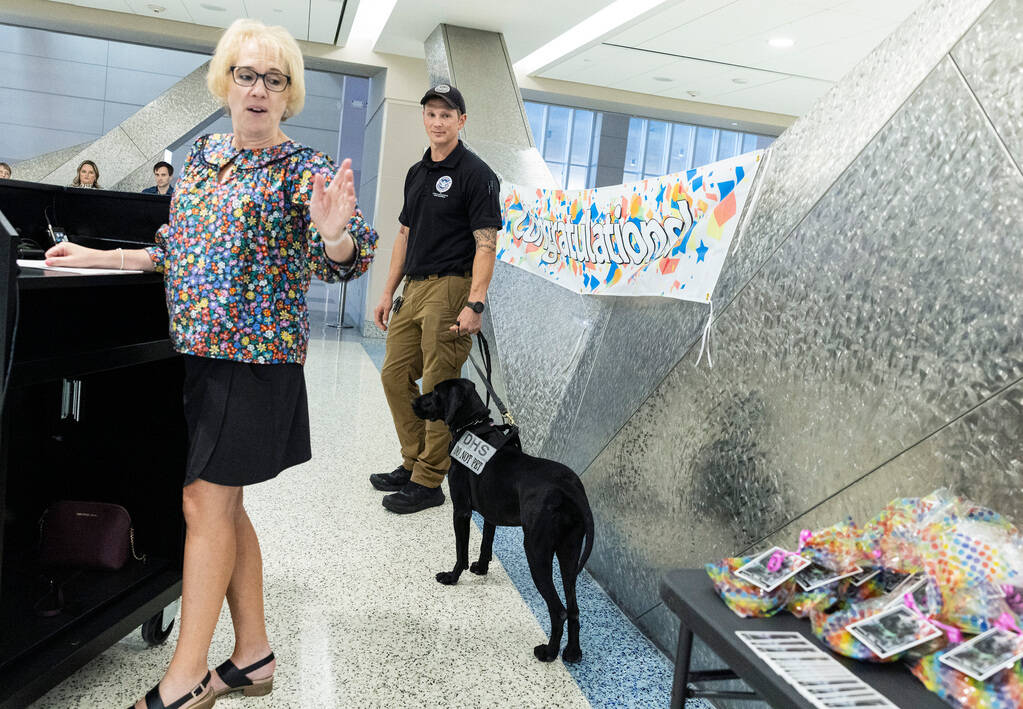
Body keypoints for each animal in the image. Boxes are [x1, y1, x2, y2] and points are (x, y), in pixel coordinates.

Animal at [411, 378, 597, 662]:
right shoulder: (491, 514)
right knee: (574, 608)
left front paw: (453, 577)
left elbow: (461, 552)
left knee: (560, 610)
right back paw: (573, 651)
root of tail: (570, 488)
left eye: (435, 393)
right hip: (569, 553)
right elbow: (486, 543)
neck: (473, 426)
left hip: (537, 551)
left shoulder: (461, 511)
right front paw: (481, 568)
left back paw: (549, 652)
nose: (413, 401)